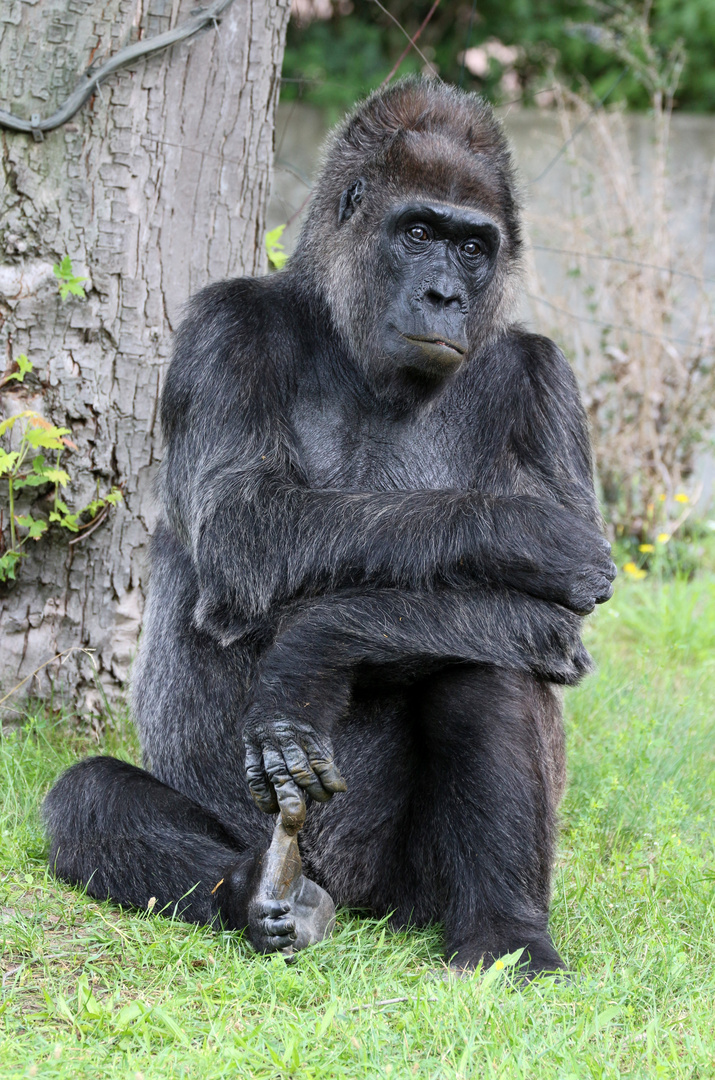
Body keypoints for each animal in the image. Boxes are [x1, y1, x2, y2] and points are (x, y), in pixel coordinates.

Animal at [43, 78, 617, 980]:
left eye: (472, 247)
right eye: (417, 233)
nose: (446, 297)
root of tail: (353, 902)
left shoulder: (545, 378)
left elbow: (552, 630)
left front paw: (312, 653)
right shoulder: (222, 325)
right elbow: (248, 526)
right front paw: (523, 532)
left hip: (406, 897)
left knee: (491, 658)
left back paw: (506, 937)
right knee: (86, 798)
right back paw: (256, 895)